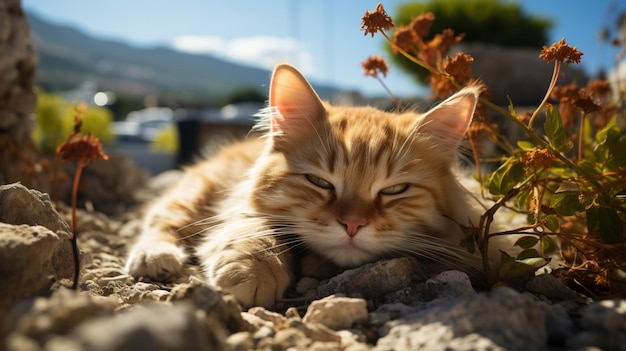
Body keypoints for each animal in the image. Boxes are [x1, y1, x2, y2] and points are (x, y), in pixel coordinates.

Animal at [125, 64, 498, 308]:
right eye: (320, 182)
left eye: (394, 190)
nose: (352, 225)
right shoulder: (241, 209)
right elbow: (258, 235)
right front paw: (252, 271)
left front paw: (317, 264)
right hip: (196, 193)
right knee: (162, 220)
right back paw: (154, 255)